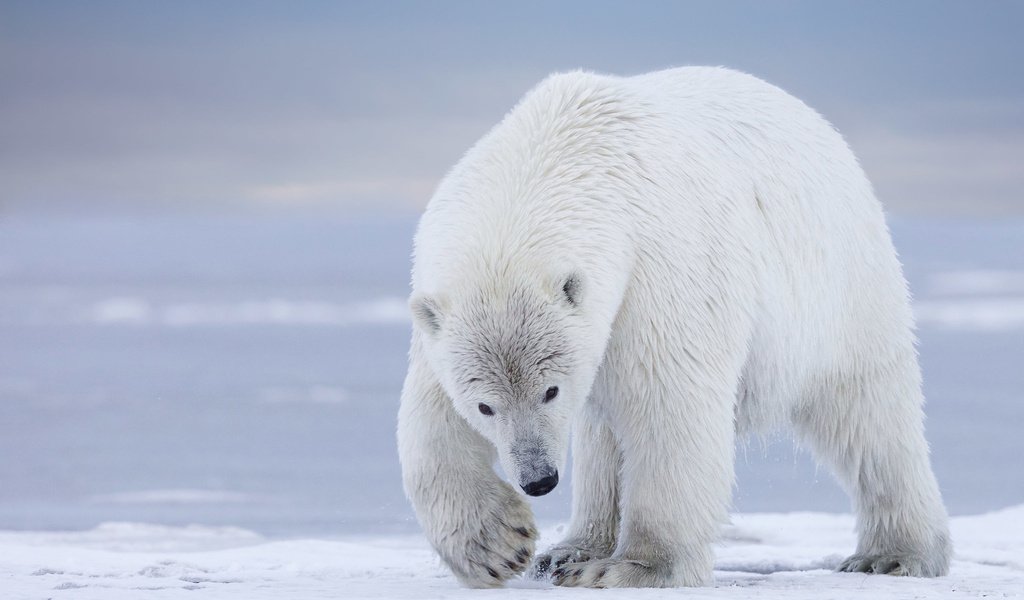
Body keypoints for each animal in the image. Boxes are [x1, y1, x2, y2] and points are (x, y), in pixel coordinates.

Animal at [393, 65, 950, 585]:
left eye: (550, 391)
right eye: (484, 406)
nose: (539, 480)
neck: (558, 153)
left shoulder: (660, 266)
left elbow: (669, 402)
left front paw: (635, 567)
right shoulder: (439, 313)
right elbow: (430, 419)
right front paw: (499, 546)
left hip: (841, 291)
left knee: (870, 417)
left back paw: (895, 554)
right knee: (601, 438)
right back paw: (571, 549)